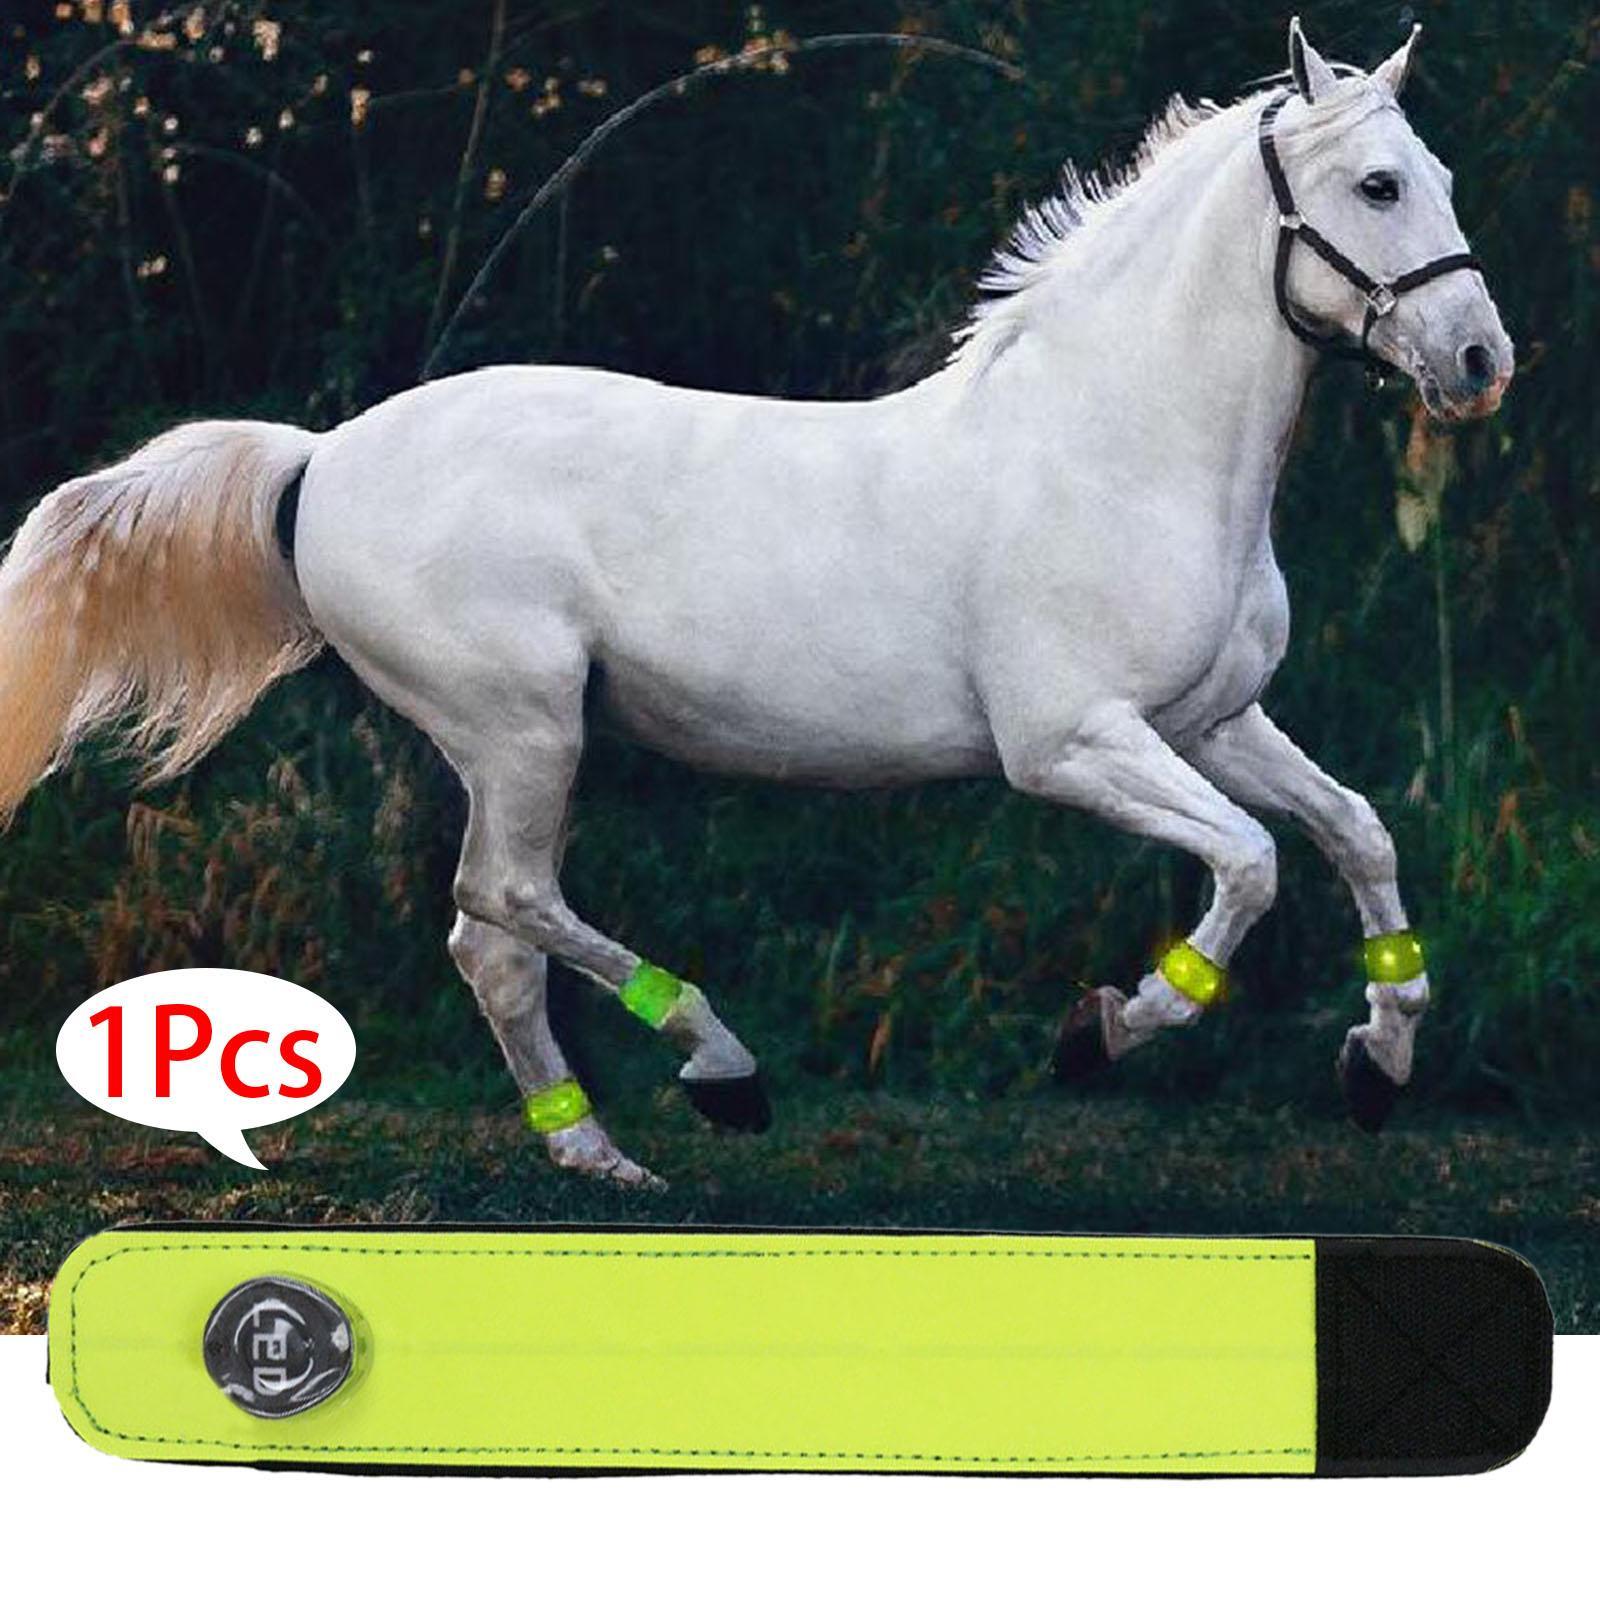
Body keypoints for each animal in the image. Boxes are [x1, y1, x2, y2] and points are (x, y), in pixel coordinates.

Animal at [0, 21, 1512, 1186]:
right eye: (1380, 185)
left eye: (1439, 176)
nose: (1481, 361)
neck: (1119, 447)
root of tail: (320, 458)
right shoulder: (1073, 743)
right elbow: (1251, 866)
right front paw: (1104, 1030)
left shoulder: (1210, 722)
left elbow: (1354, 830)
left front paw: (1378, 1063)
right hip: (523, 727)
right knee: (504, 897)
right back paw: (719, 1069)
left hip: (514, 743)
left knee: (491, 942)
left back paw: (599, 1154)